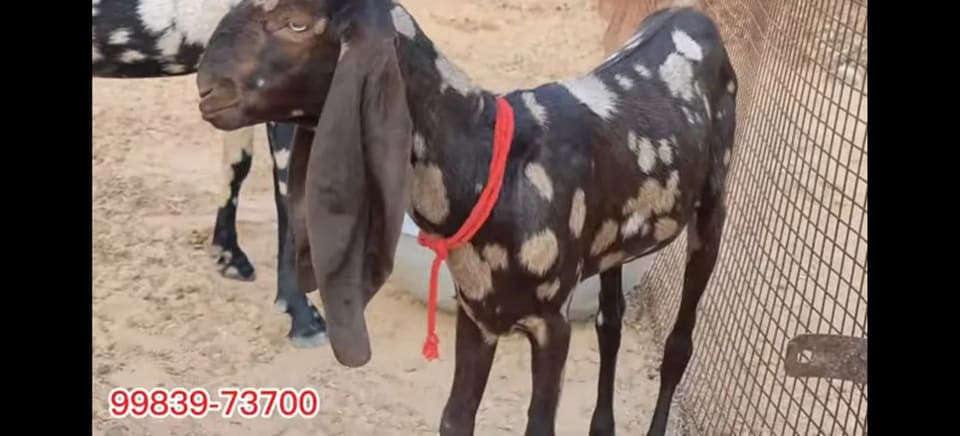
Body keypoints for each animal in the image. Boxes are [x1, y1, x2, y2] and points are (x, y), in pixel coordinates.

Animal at [196, 0, 738, 435]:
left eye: (297, 23)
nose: (206, 85)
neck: (489, 166)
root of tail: (691, 15)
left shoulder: (552, 323)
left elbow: (538, 424)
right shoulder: (478, 314)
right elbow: (455, 418)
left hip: (712, 209)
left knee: (678, 346)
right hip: (614, 250)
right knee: (611, 326)